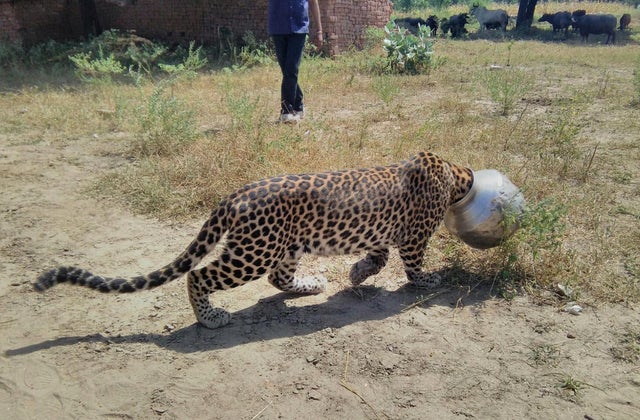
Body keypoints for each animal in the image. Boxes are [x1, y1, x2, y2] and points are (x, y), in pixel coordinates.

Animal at [35, 151, 474, 329]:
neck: (453, 171)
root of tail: (234, 195)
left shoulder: (384, 233)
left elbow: (377, 256)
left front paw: (356, 273)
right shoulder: (414, 236)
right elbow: (412, 265)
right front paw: (430, 279)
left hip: (285, 246)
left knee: (278, 279)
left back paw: (313, 284)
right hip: (253, 252)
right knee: (198, 275)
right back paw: (210, 318)